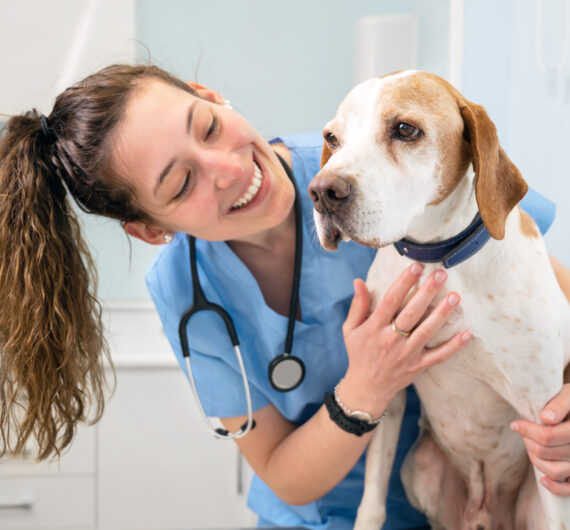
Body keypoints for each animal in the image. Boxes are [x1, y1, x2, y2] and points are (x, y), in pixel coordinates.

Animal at [308, 71, 568, 528]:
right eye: (333, 138)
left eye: (405, 129)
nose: (322, 191)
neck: (438, 261)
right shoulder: (387, 394)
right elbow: (372, 502)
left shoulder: (543, 420)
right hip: (420, 467)